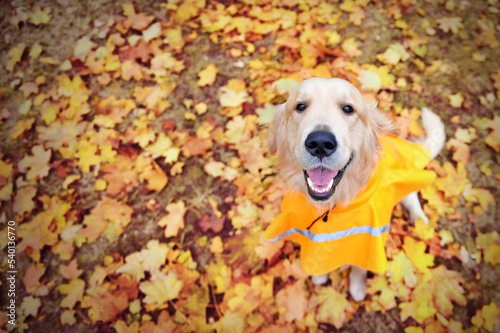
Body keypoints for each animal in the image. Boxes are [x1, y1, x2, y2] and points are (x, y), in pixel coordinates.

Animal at [266, 78, 446, 300]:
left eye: (348, 109)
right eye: (300, 106)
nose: (320, 143)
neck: (334, 204)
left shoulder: (368, 241)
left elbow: (359, 268)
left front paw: (357, 288)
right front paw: (319, 275)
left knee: (411, 196)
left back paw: (420, 221)